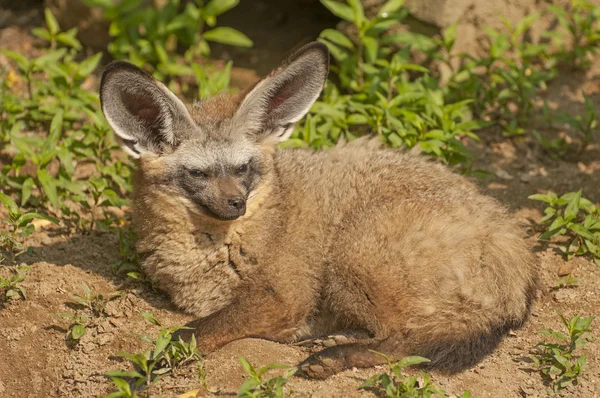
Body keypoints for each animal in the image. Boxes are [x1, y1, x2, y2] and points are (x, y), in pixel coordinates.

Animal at [99, 42, 540, 378]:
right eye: (198, 173)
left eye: (243, 169)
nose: (236, 204)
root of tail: (517, 249)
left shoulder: (284, 298)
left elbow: (191, 332)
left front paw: (147, 367)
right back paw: (333, 338)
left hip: (353, 255)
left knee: (404, 343)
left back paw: (330, 357)